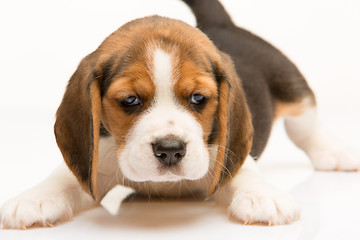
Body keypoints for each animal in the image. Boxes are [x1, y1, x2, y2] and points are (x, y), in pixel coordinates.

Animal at [1, 0, 358, 229]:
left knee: (305, 125)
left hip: (291, 83)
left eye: (199, 98)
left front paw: (262, 195)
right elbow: (65, 177)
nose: (170, 150)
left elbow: (242, 169)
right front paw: (35, 198)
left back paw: (335, 152)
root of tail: (221, 24)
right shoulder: (97, 159)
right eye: (129, 100)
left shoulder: (220, 154)